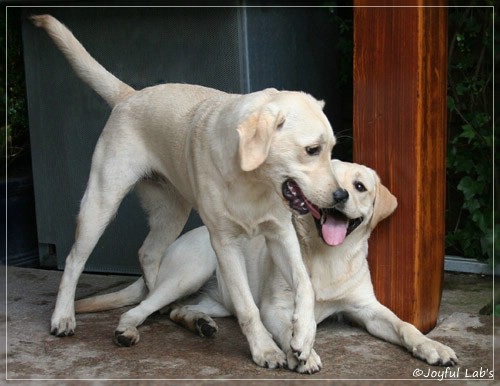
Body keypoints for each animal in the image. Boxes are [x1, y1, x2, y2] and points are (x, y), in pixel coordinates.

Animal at [33, 15, 342, 368]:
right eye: (312, 150)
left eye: (332, 150)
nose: (340, 197)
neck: (252, 181)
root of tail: (130, 95)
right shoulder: (225, 243)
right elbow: (247, 307)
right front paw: (265, 349)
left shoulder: (280, 233)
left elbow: (304, 284)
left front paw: (302, 337)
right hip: (101, 202)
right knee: (74, 260)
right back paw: (65, 317)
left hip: (172, 213)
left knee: (148, 254)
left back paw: (162, 308)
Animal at [75, 161, 458, 374]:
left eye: (360, 186)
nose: (339, 197)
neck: (327, 257)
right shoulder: (274, 306)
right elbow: (291, 329)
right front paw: (302, 352)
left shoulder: (367, 309)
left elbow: (405, 325)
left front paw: (433, 347)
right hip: (189, 272)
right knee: (143, 308)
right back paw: (127, 331)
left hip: (220, 298)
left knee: (178, 311)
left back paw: (201, 324)